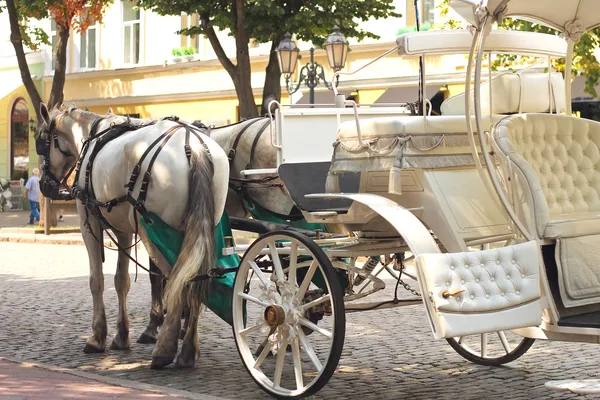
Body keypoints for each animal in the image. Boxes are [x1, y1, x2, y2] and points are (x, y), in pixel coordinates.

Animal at [35, 104, 227, 368]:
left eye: (42, 144)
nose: (44, 185)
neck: (92, 136)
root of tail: (193, 145)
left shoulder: (89, 223)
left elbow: (97, 281)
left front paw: (97, 337)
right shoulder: (124, 231)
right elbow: (121, 280)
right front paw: (121, 335)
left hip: (160, 234)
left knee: (176, 282)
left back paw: (165, 348)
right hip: (202, 229)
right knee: (195, 279)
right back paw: (188, 349)